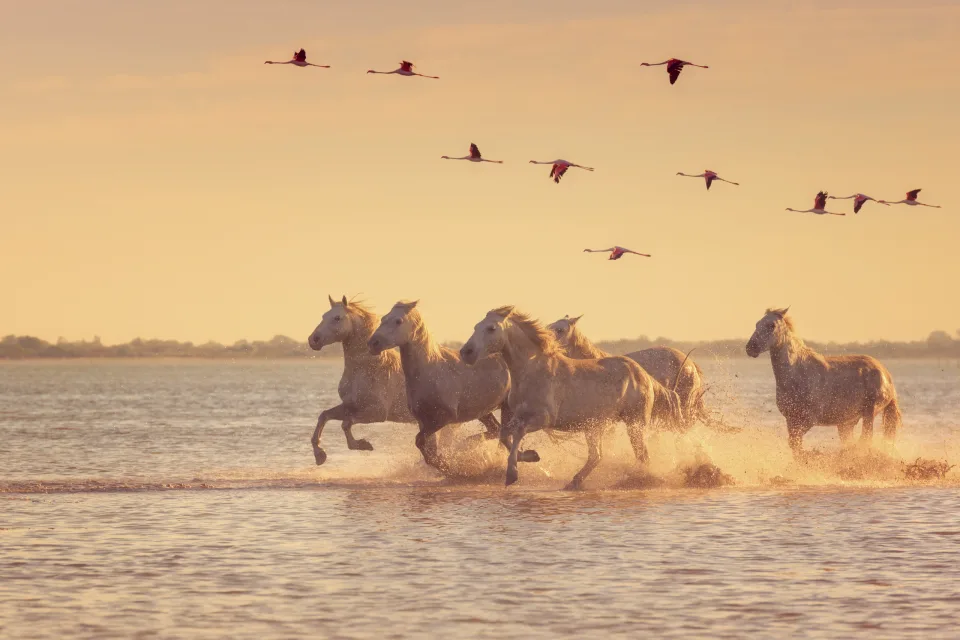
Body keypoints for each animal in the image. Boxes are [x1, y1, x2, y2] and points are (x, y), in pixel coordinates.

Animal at [307, 296, 414, 465]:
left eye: (337, 318)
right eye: (323, 316)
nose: (313, 340)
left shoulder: (377, 413)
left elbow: (346, 424)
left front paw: (363, 444)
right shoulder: (351, 406)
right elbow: (324, 416)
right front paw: (319, 455)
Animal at [367, 300, 536, 471]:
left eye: (398, 321)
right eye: (383, 318)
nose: (373, 343)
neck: (429, 370)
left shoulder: (444, 417)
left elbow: (421, 442)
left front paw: (448, 466)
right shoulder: (423, 420)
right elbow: (427, 448)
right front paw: (446, 464)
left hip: (506, 407)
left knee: (505, 435)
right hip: (483, 412)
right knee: (496, 430)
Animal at [461, 306, 656, 490]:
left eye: (491, 328)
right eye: (476, 326)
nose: (466, 352)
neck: (530, 370)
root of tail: (643, 374)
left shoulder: (543, 419)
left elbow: (518, 433)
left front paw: (512, 474)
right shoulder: (518, 415)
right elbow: (504, 436)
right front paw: (531, 456)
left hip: (634, 423)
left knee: (642, 456)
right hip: (594, 426)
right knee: (597, 456)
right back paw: (574, 482)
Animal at [745, 307, 902, 454]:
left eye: (771, 325)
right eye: (757, 324)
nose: (750, 348)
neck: (798, 372)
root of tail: (886, 375)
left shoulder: (809, 419)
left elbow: (795, 443)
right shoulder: (791, 419)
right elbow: (795, 446)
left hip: (869, 413)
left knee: (865, 439)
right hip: (847, 423)